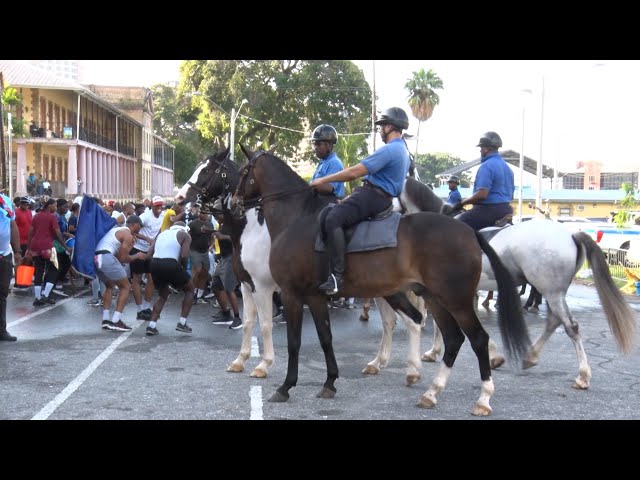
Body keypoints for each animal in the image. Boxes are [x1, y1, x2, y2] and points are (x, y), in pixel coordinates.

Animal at [232, 144, 532, 414]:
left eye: (243, 171)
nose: (231, 203)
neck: (296, 220)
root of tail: (468, 231)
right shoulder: (315, 297)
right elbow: (325, 337)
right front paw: (329, 382)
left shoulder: (291, 294)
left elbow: (294, 342)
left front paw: (285, 387)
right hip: (434, 297)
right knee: (452, 338)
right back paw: (432, 392)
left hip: (455, 300)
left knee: (477, 339)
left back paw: (483, 398)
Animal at [398, 177, 636, 390]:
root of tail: (570, 234)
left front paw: (436, 352)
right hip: (554, 291)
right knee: (554, 321)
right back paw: (530, 357)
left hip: (551, 291)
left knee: (571, 326)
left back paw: (583, 375)